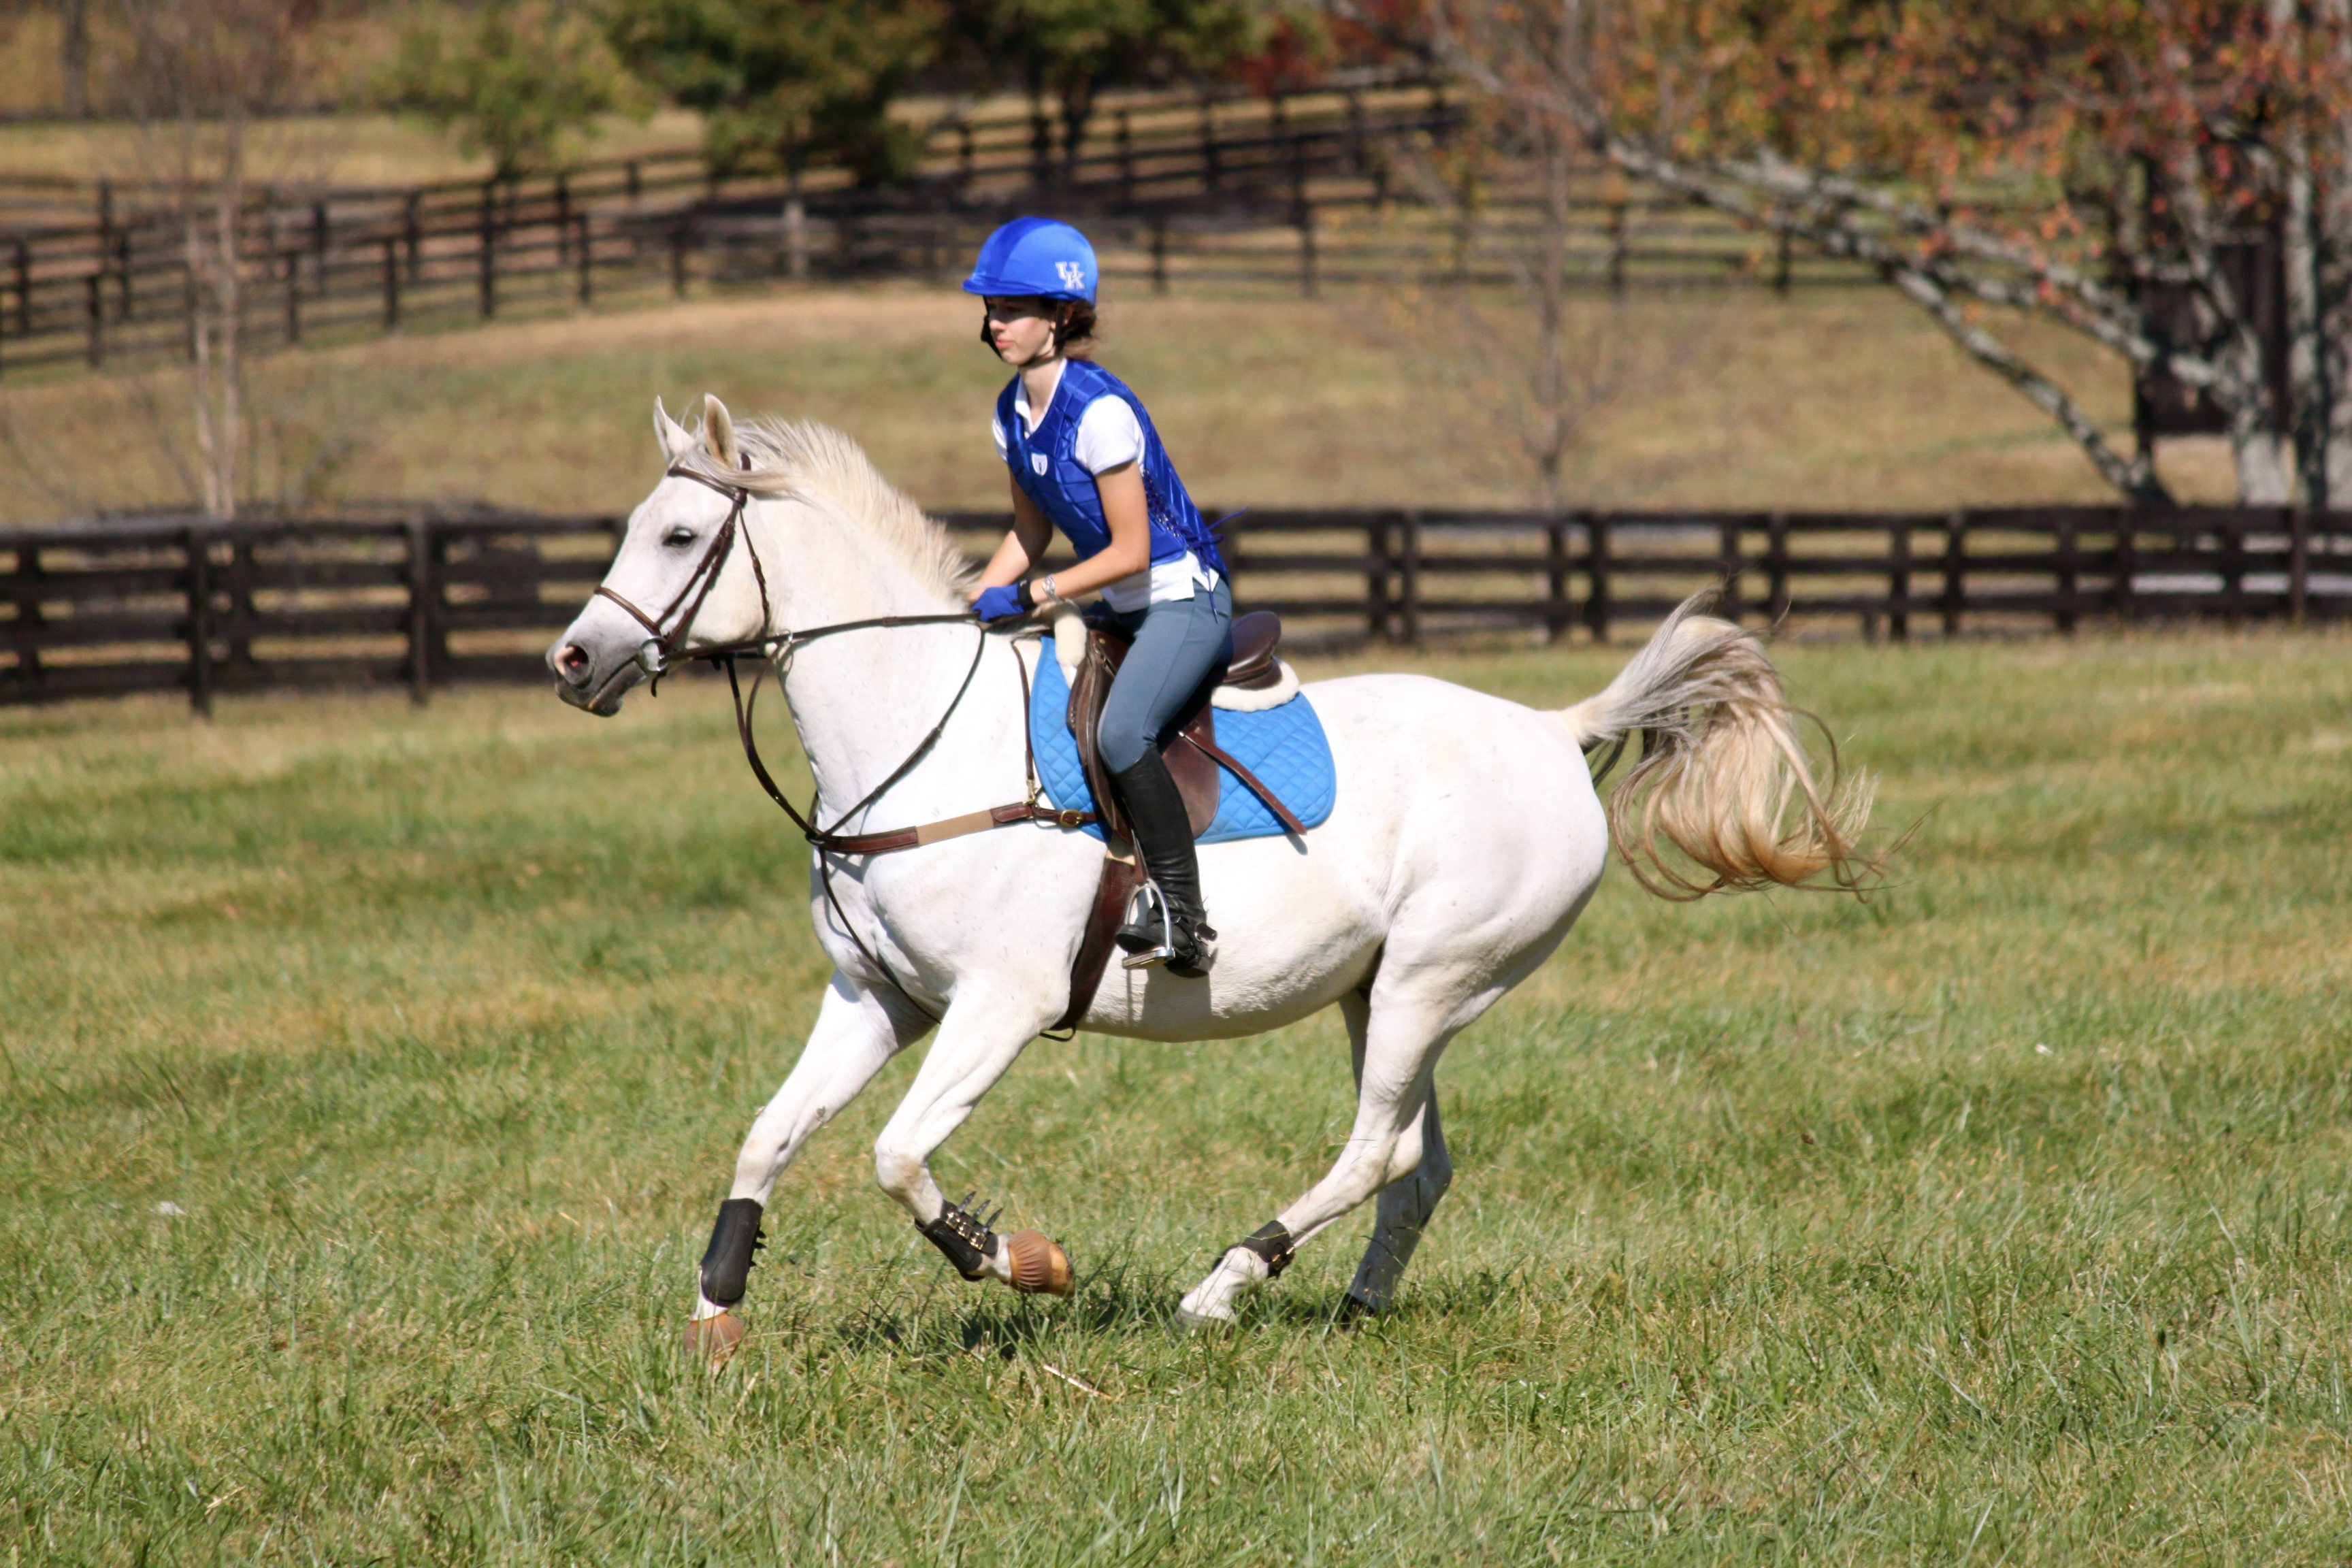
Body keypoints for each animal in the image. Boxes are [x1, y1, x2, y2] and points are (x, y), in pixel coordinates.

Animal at [550, 392, 1872, 1354]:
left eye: (678, 536)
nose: (574, 660)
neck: (917, 740)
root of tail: (1555, 727)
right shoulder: (880, 996)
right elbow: (767, 1138)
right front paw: (715, 1315)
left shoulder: (998, 1006)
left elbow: (897, 1156)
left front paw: (1021, 1261)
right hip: (1382, 991)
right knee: (1416, 1163)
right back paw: (1351, 1305)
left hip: (1435, 979)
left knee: (1376, 1152)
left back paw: (1221, 1287)